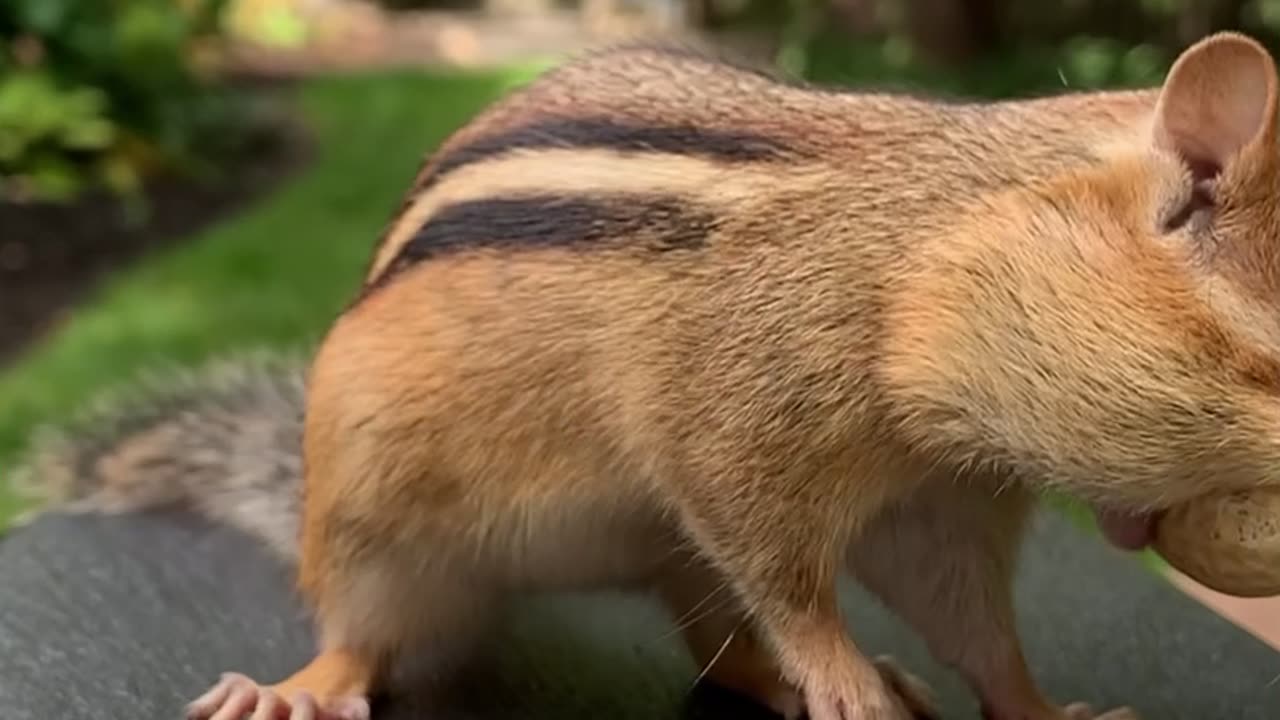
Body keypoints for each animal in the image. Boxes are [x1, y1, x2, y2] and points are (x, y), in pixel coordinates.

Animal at [19, 29, 1280, 720]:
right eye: (1274, 364)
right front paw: (836, 675)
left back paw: (776, 680)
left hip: (667, 556)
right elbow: (780, 568)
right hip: (380, 520)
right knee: (366, 628)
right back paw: (301, 684)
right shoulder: (734, 421)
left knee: (714, 644)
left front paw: (1037, 705)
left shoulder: (941, 497)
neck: (922, 255)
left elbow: (966, 614)